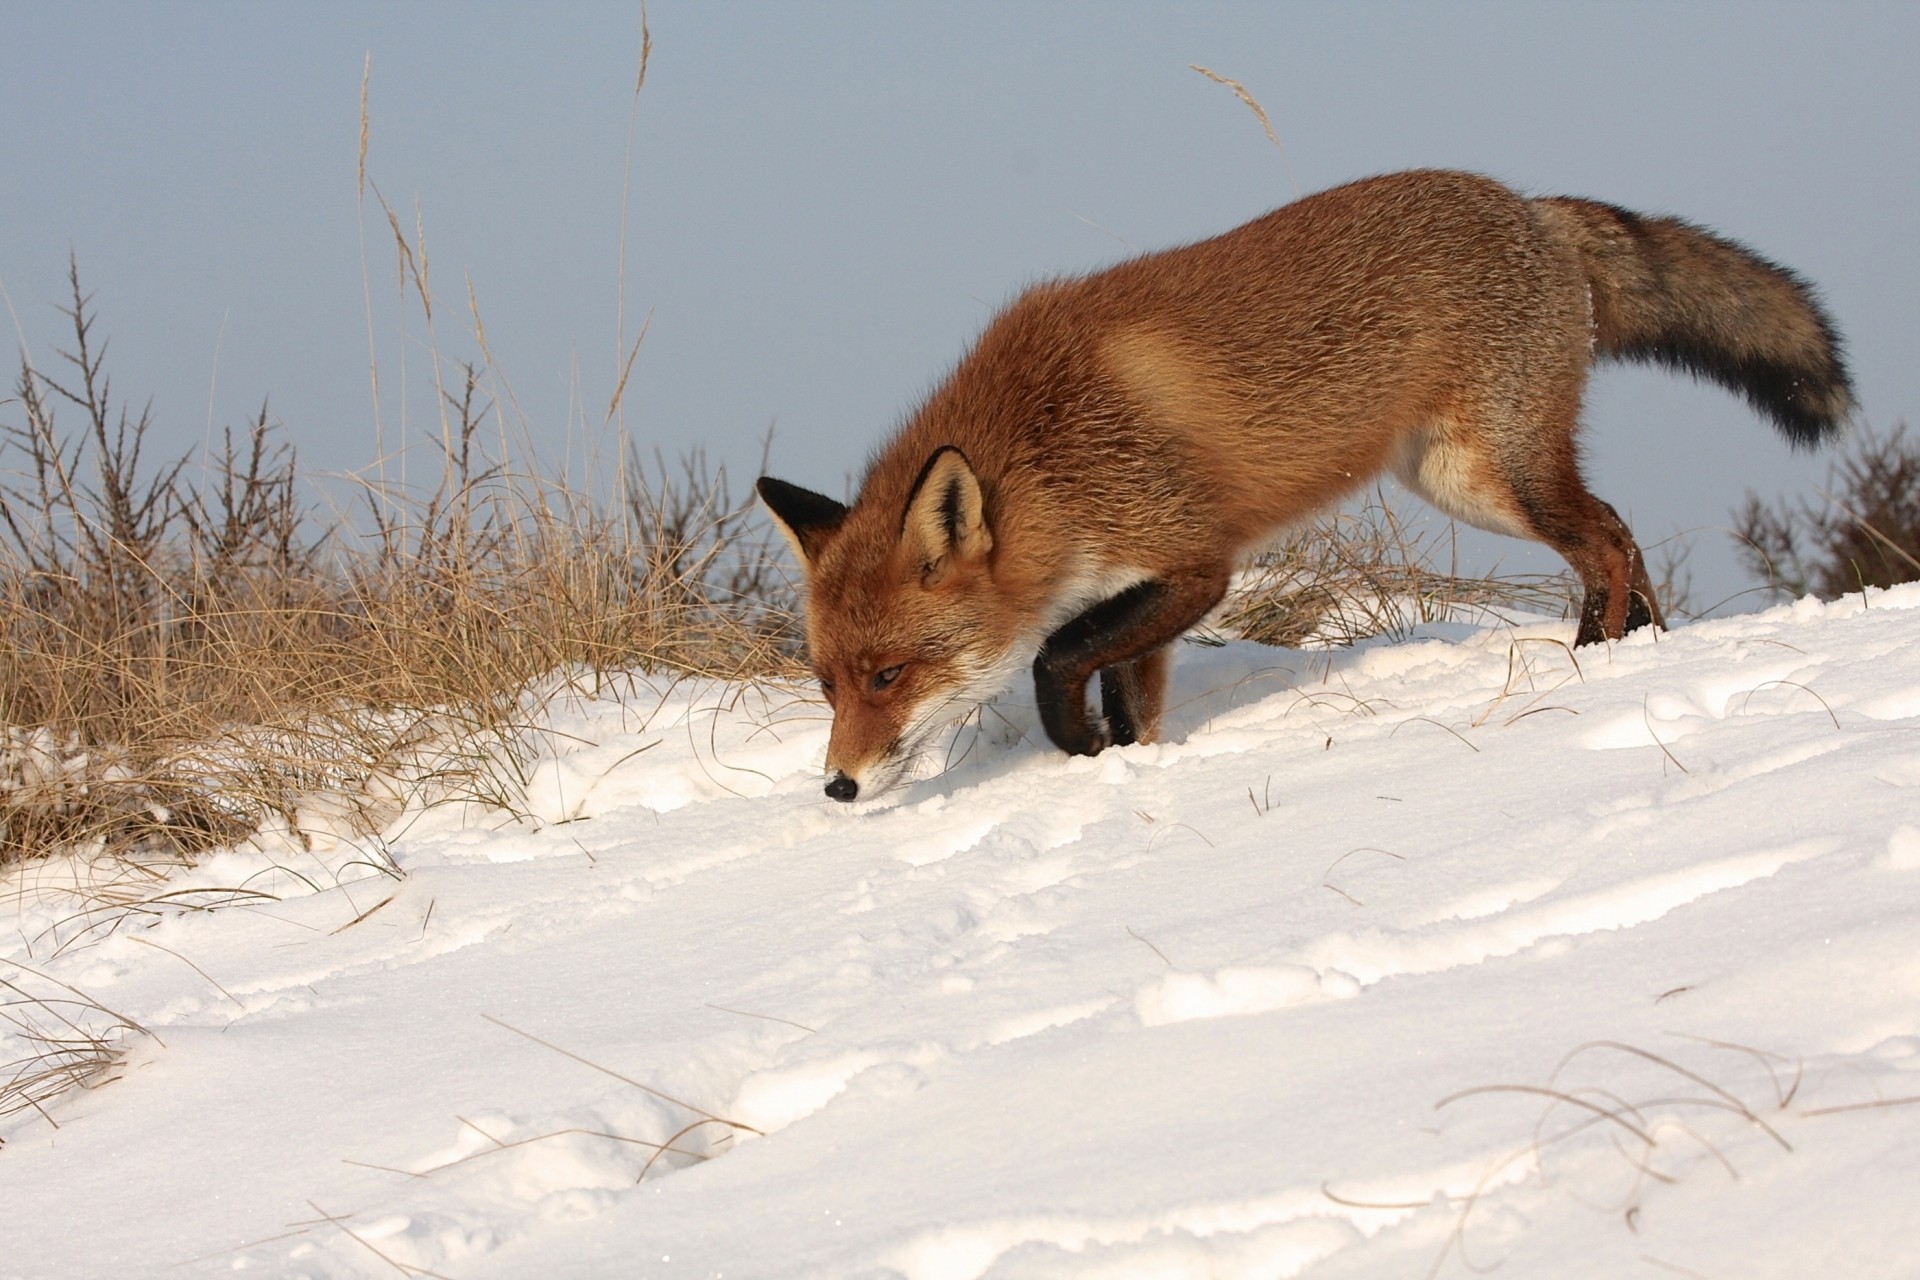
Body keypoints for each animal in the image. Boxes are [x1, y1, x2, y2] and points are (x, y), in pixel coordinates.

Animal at [758, 168, 1853, 803]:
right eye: (827, 683)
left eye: (889, 676)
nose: (838, 787)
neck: (1050, 452)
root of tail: (1531, 206)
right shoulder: (1136, 593)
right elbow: (1126, 691)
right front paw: (1119, 761)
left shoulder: (1196, 563)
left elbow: (1056, 657)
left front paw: (1077, 746)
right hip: (1460, 480)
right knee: (1618, 525)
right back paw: (1643, 648)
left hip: (1488, 477)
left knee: (1607, 542)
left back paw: (1594, 657)